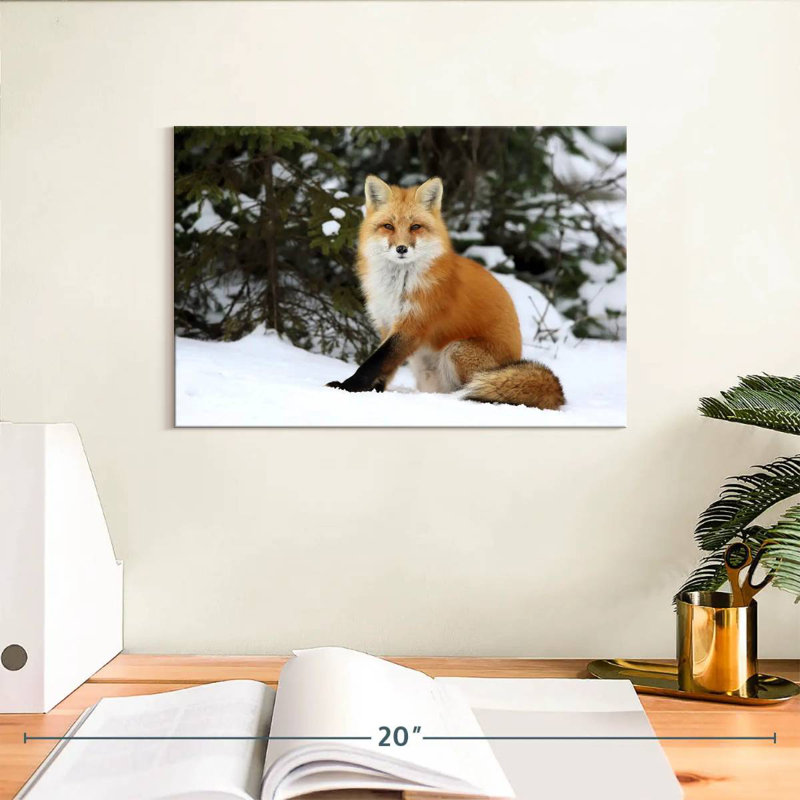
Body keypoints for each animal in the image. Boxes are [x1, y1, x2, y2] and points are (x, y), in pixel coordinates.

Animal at [326, 175, 565, 410]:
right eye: (388, 226)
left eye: (415, 227)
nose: (401, 248)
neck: (398, 284)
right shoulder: (387, 323)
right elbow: (386, 365)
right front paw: (373, 391)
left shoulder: (414, 324)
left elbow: (374, 362)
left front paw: (347, 387)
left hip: (456, 350)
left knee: (472, 389)